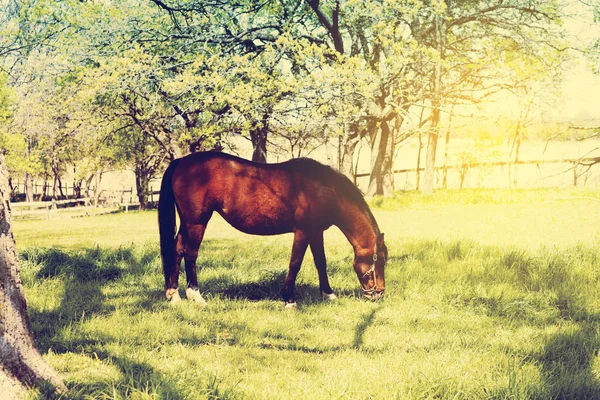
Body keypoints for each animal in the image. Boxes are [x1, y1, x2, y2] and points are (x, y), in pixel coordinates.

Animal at [157, 152, 386, 308]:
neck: (322, 187)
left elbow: (321, 262)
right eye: (380, 261)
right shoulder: (303, 231)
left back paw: (174, 296)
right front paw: (289, 300)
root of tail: (181, 161)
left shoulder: (315, 232)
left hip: (187, 223)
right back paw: (196, 296)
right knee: (191, 254)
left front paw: (329, 294)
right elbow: (295, 263)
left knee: (177, 250)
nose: (379, 294)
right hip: (197, 222)